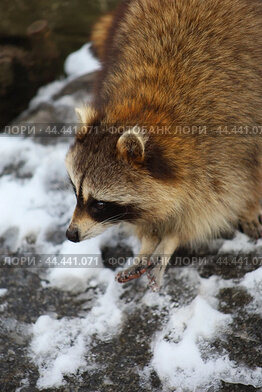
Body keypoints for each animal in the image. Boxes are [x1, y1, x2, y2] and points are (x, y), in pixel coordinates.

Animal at [65, 0, 262, 288]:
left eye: (99, 204)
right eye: (75, 191)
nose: (71, 235)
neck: (148, 109)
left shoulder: (227, 148)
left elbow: (215, 203)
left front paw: (172, 237)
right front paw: (149, 237)